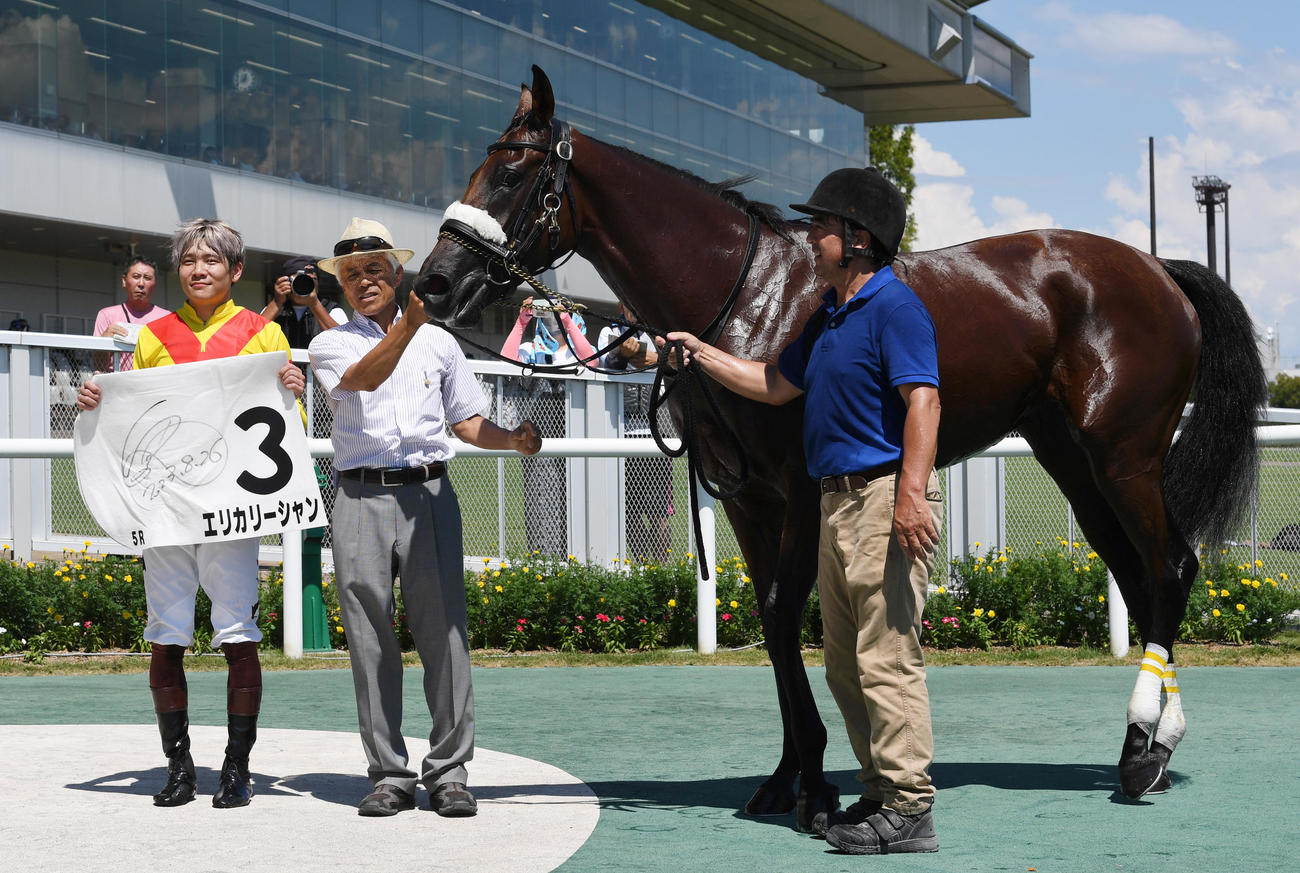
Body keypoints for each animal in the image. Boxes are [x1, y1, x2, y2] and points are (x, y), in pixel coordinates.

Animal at [415, 66, 1266, 828]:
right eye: (480, 162)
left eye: (513, 172)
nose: (434, 282)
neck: (744, 294)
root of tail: (1159, 270)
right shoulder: (747, 497)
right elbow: (771, 618)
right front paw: (787, 775)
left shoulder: (797, 487)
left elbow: (787, 610)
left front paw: (815, 783)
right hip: (1074, 463)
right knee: (1138, 573)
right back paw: (1148, 742)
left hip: (1125, 456)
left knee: (1169, 566)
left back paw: (1144, 750)